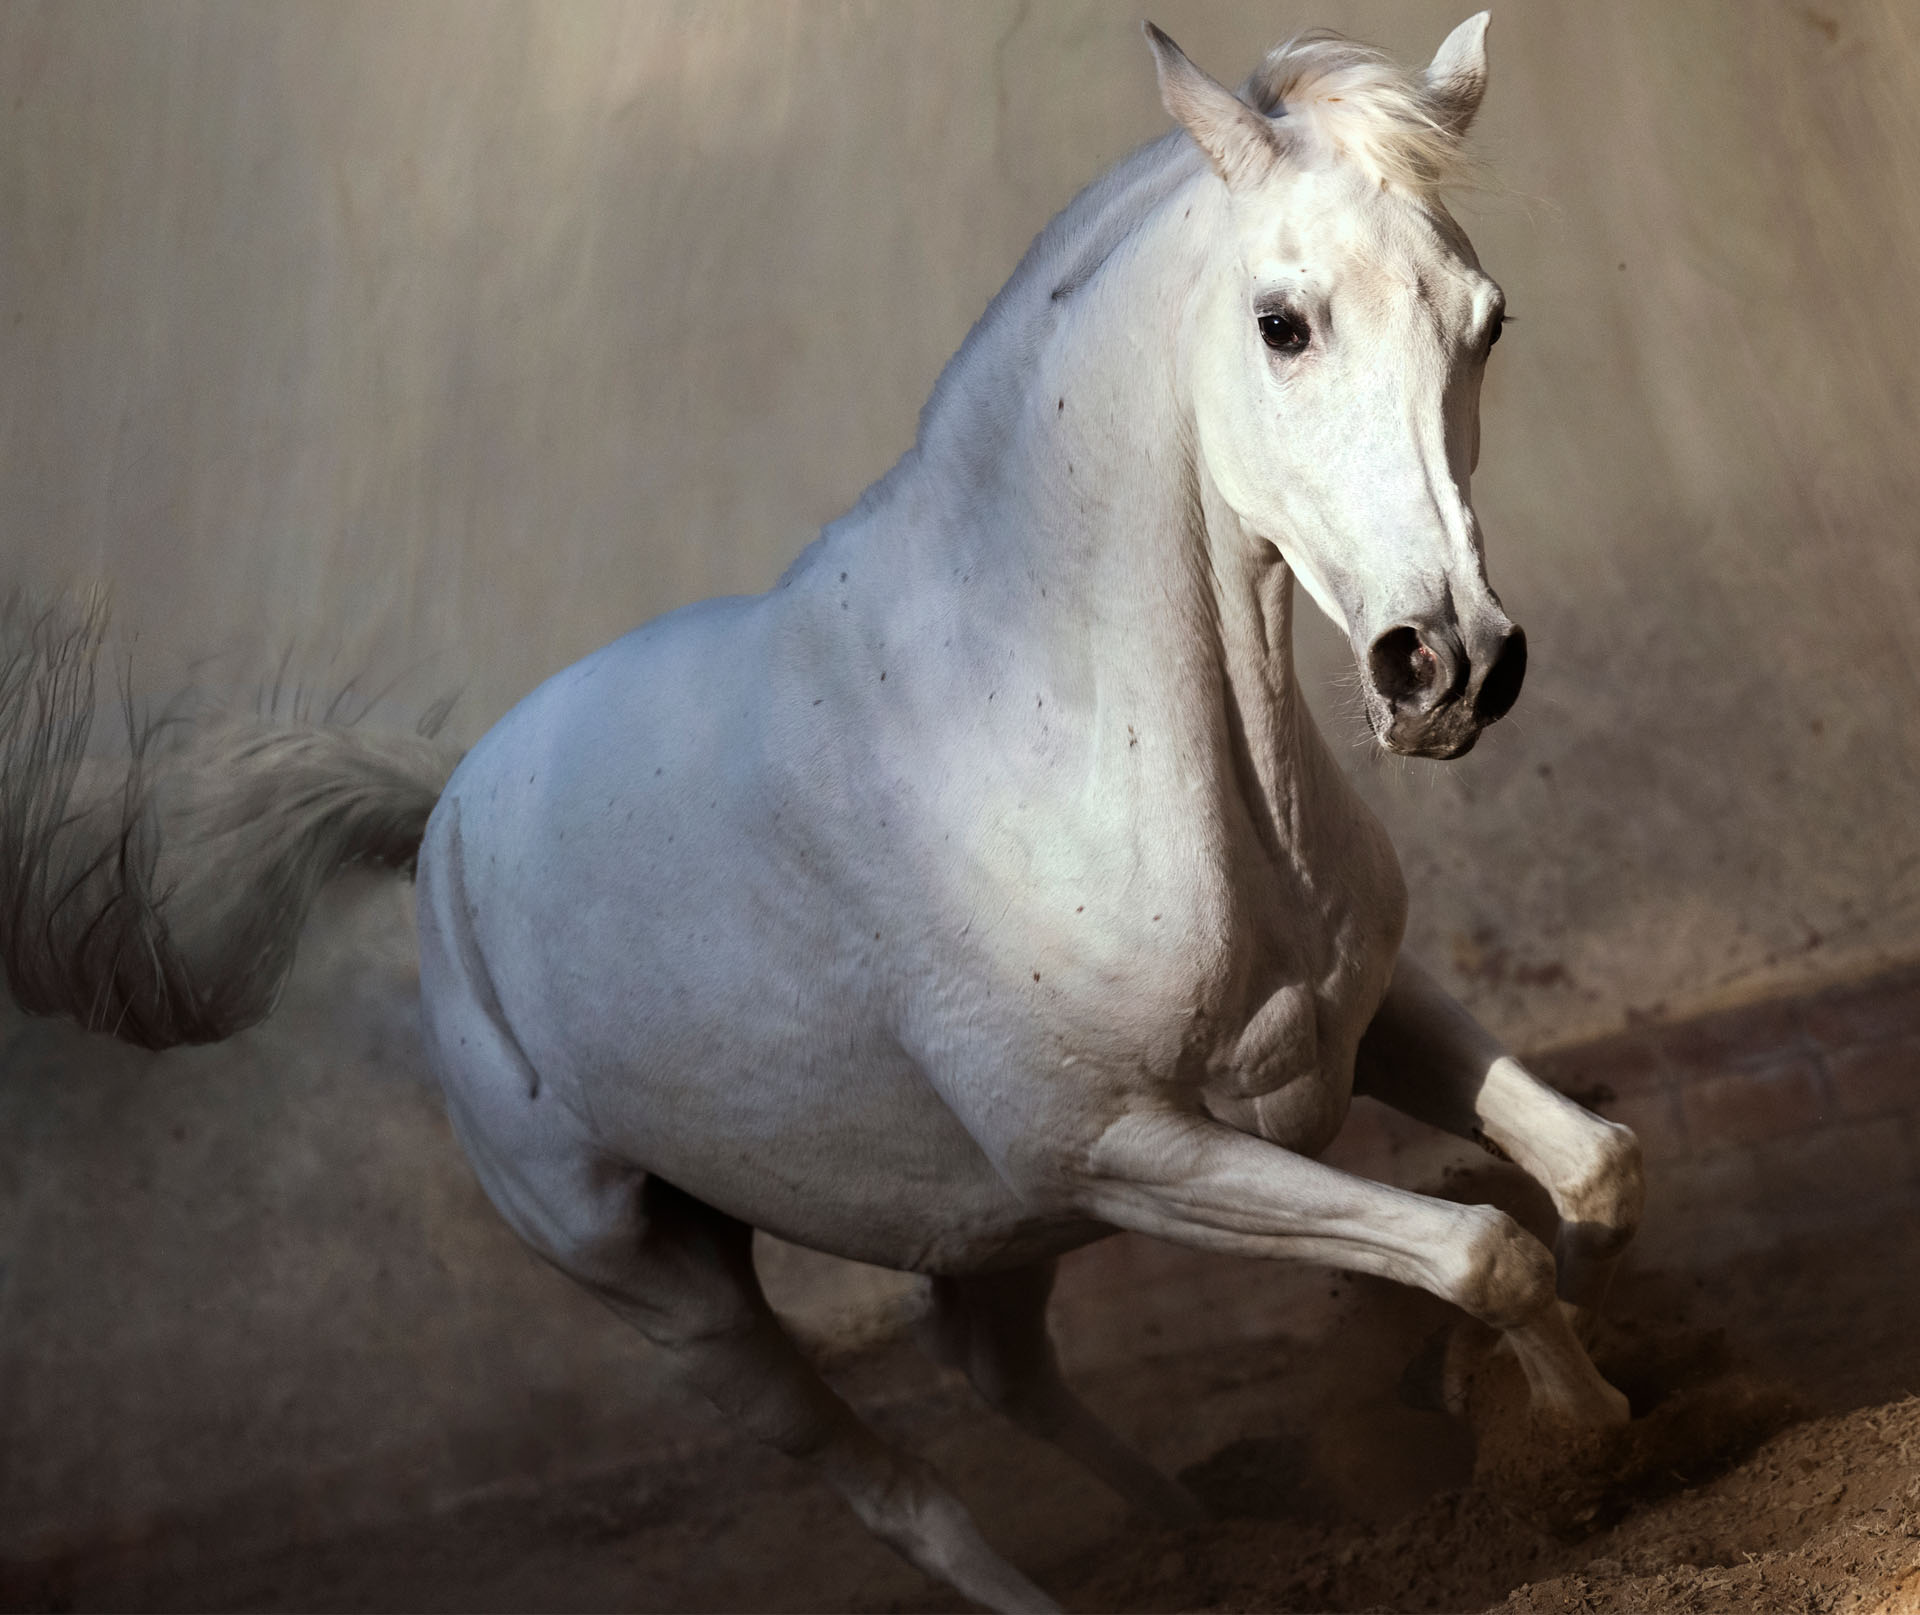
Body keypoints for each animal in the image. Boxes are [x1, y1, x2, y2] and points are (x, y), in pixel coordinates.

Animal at [0, 16, 1643, 1613]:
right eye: (1283, 321)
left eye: (1486, 320)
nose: (1451, 664)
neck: (1047, 731)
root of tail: (445, 817)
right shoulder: (1118, 1151)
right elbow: (1484, 1249)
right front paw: (1570, 1455)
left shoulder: (1358, 1020)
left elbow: (1590, 1173)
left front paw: (1587, 1395)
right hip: (681, 1294)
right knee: (900, 1488)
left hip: (978, 1223)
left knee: (999, 1370)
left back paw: (1217, 1536)